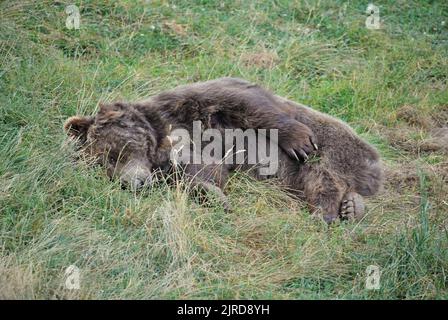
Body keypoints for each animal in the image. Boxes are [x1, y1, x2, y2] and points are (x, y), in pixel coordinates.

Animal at [65, 77, 384, 222]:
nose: (133, 183)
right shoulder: (179, 159)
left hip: (339, 146)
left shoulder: (201, 103)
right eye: (103, 166)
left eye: (114, 154)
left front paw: (298, 140)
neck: (162, 132)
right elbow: (201, 172)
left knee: (324, 174)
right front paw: (212, 194)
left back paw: (327, 213)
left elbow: (250, 104)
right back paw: (350, 207)